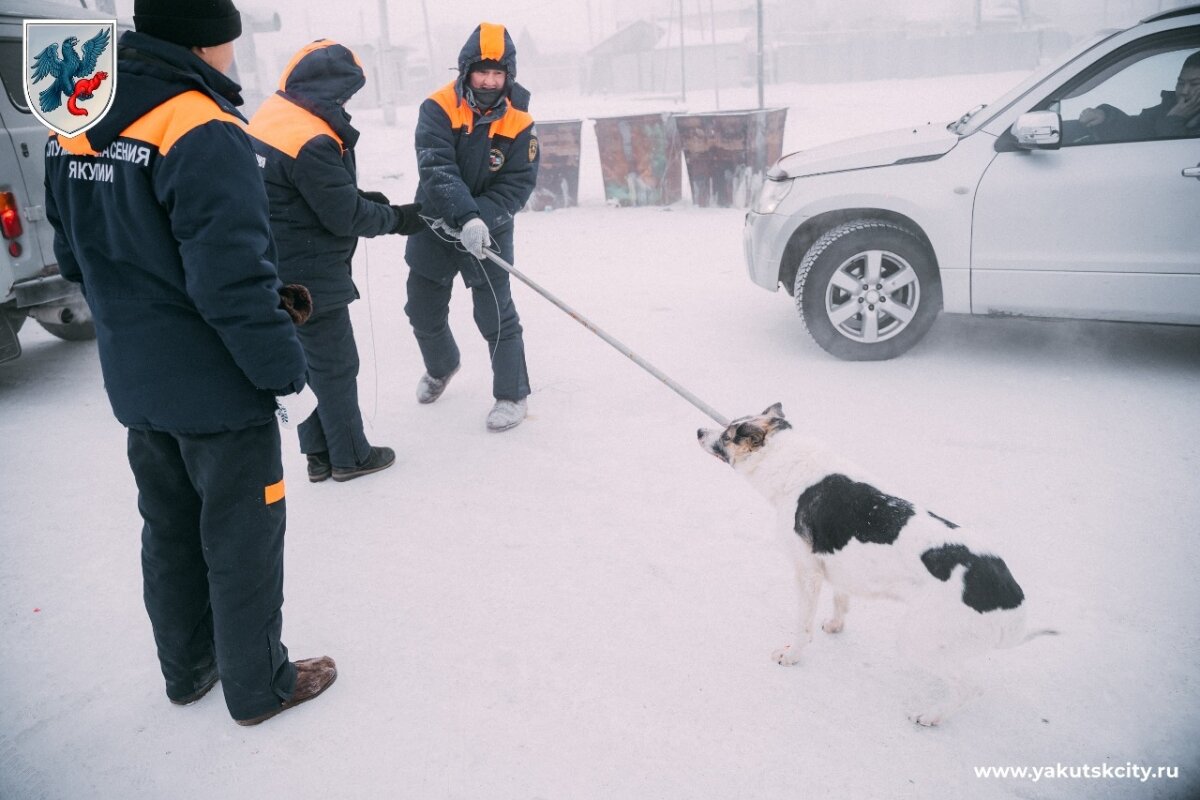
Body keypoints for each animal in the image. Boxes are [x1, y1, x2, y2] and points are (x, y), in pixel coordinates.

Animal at [700, 407, 1046, 724]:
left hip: (916, 640)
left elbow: (802, 627)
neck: (789, 462)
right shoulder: (836, 567)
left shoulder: (807, 573)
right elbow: (841, 600)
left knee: (969, 688)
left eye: (728, 435)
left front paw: (792, 655)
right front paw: (835, 626)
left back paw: (931, 716)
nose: (699, 431)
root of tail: (1014, 600)